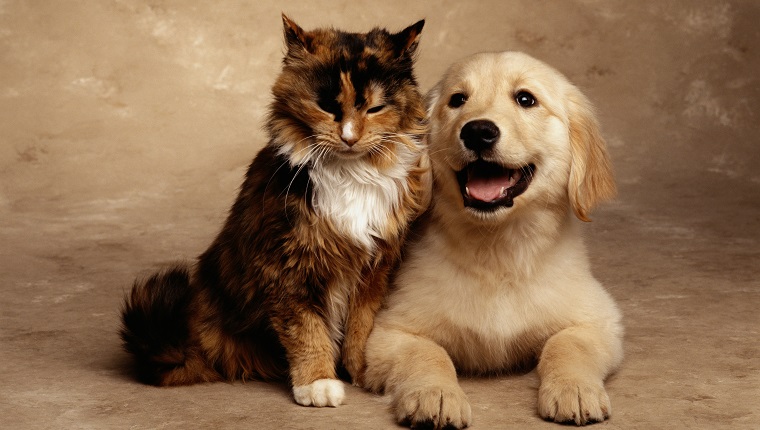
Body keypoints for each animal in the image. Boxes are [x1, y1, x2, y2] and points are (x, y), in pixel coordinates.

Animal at [118, 15, 428, 408]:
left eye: (374, 109)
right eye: (326, 107)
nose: (349, 137)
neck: (350, 175)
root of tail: (191, 340)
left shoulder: (375, 267)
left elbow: (360, 327)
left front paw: (361, 371)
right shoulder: (287, 268)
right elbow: (308, 333)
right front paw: (318, 383)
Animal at [364, 52, 624, 428]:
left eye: (526, 99)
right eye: (458, 100)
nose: (478, 132)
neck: (497, 248)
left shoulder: (599, 321)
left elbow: (567, 345)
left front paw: (573, 388)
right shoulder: (389, 333)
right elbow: (428, 354)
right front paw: (435, 394)